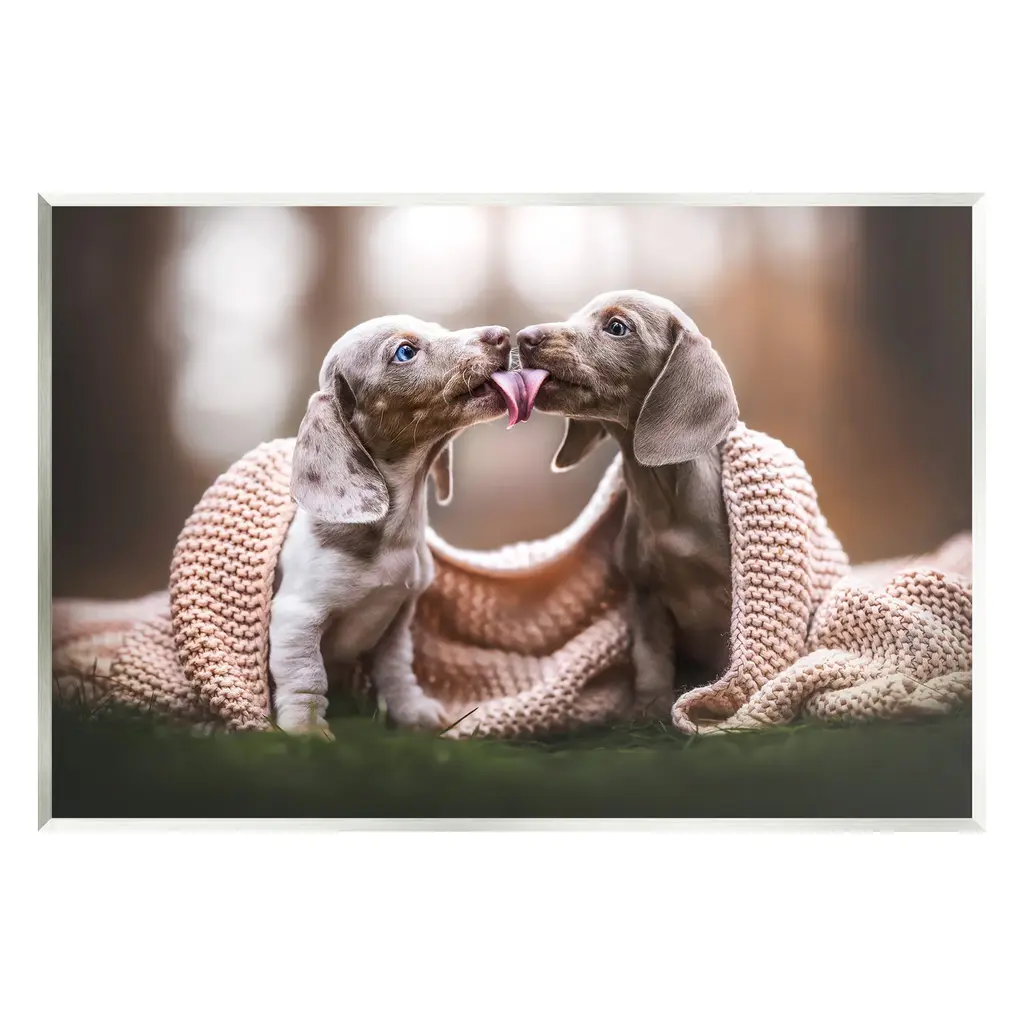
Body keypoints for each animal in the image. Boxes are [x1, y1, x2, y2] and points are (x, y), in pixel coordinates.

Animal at [269, 314, 517, 737]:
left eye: (438, 328)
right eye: (405, 352)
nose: (502, 335)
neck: (394, 533)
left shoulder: (398, 619)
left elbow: (396, 670)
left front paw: (413, 713)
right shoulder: (296, 617)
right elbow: (306, 678)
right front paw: (307, 730)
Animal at [516, 290, 739, 718]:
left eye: (618, 327)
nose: (523, 336)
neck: (663, 502)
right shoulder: (646, 597)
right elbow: (651, 661)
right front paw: (648, 709)